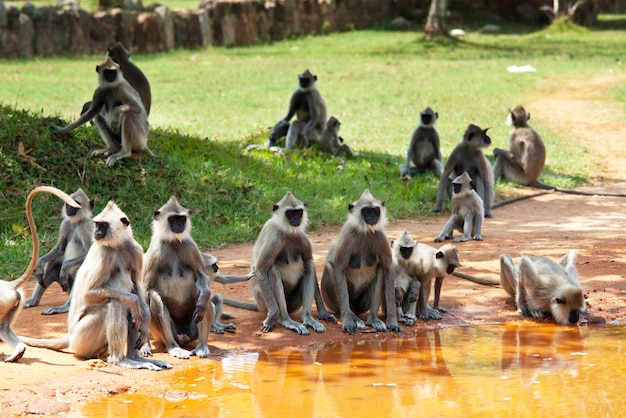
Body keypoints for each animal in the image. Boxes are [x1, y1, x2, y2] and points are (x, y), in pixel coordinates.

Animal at [20, 201, 171, 370]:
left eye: (103, 225)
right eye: (97, 224)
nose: (97, 232)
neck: (118, 246)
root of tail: (71, 336)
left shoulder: (135, 250)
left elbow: (137, 287)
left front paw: (145, 319)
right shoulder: (105, 253)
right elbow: (92, 293)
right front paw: (135, 303)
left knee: (129, 308)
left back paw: (134, 357)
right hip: (82, 337)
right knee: (117, 302)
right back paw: (121, 360)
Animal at [222, 192, 334, 334]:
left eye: (298, 212)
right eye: (290, 213)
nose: (296, 218)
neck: (286, 231)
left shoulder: (300, 235)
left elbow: (308, 260)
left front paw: (324, 313)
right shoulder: (275, 238)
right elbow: (261, 270)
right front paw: (271, 319)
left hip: (292, 303)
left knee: (309, 265)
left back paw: (307, 317)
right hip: (263, 301)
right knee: (273, 270)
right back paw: (286, 320)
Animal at [320, 190, 402, 336]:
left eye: (375, 210)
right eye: (366, 211)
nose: (372, 216)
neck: (364, 231)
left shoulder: (380, 236)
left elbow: (388, 269)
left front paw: (392, 322)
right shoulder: (348, 236)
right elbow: (339, 270)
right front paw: (348, 321)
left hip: (362, 304)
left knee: (380, 270)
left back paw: (372, 319)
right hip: (332, 303)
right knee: (330, 268)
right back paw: (354, 318)